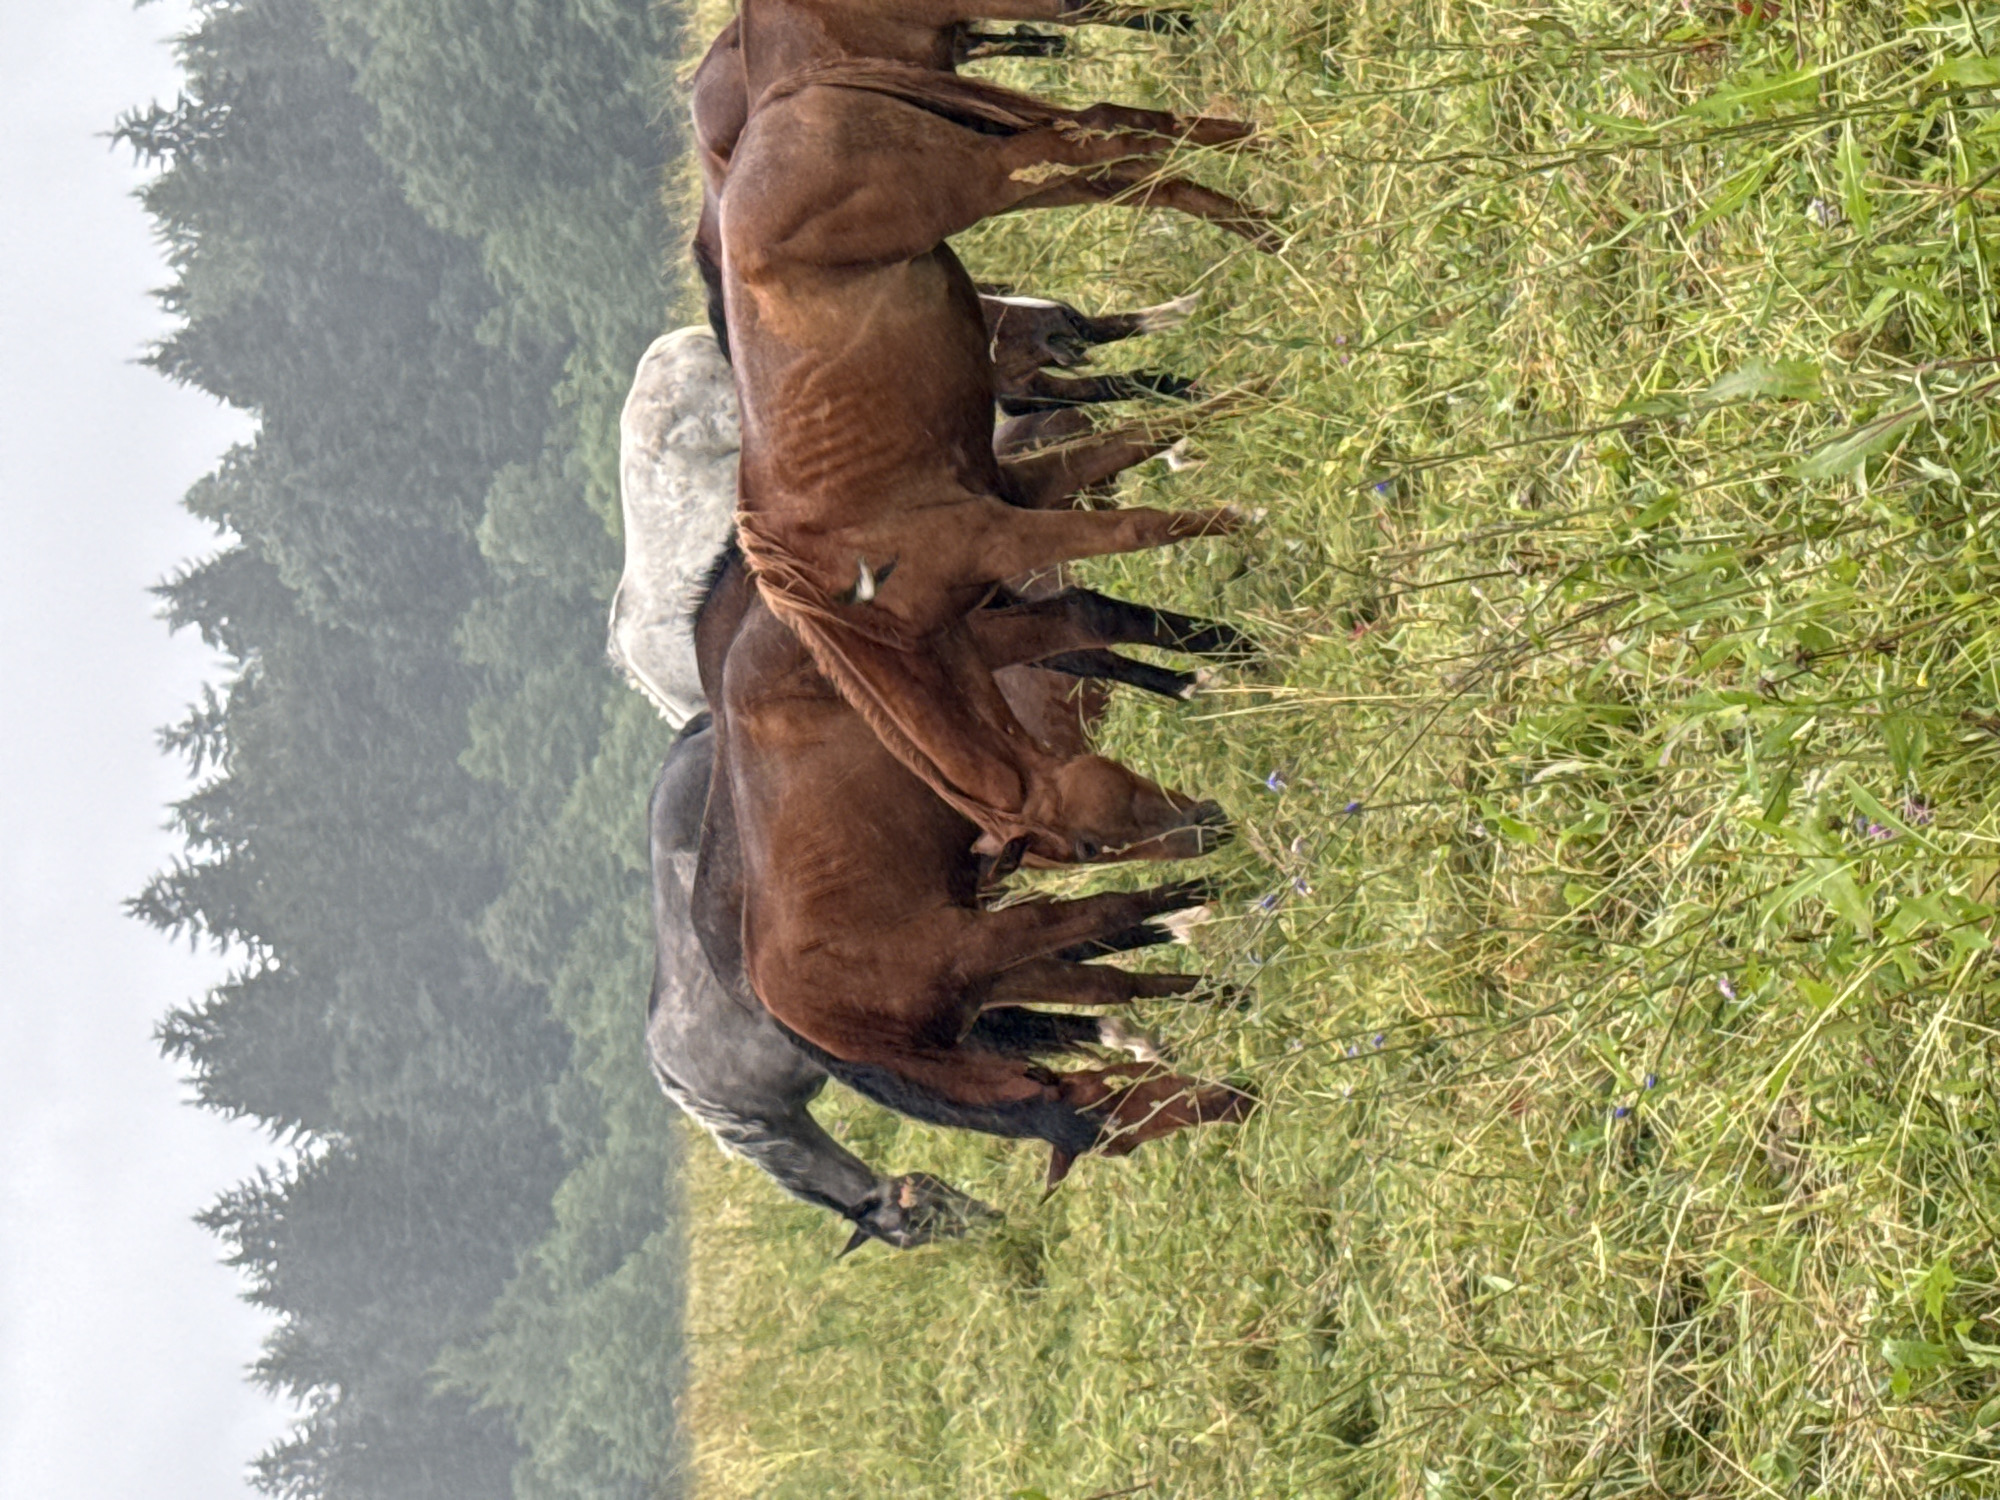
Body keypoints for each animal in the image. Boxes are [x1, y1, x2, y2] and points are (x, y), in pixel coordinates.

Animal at [723, 63, 1271, 864]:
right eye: (1087, 849)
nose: (1209, 831)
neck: (851, 600)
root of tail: (785, 99)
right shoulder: (1021, 491)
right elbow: (1132, 456)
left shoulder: (1002, 535)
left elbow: (1137, 529)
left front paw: (1249, 514)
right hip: (1004, 170)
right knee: (1120, 150)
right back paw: (1269, 179)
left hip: (988, 173)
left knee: (1108, 154)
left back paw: (1265, 215)